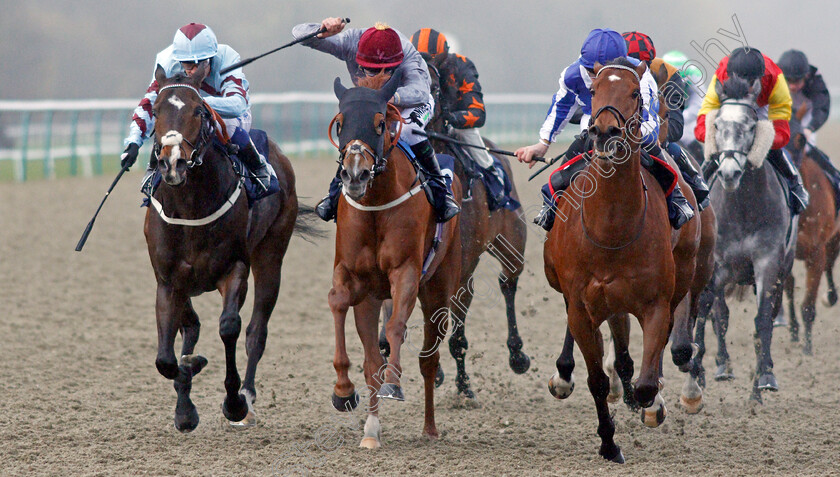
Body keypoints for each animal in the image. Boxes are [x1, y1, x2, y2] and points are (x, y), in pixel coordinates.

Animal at [145, 68, 306, 432]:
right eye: (156, 111)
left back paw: (247, 395)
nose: (172, 163)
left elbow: (229, 326)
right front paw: (185, 405)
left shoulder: (234, 268)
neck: (191, 208)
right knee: (190, 326)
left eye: (199, 111)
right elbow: (166, 358)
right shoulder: (168, 280)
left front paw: (234, 403)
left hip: (271, 254)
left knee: (256, 331)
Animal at [328, 72, 462, 448]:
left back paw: (429, 428)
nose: (354, 174)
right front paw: (343, 391)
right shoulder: (350, 274)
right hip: (371, 298)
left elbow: (397, 326)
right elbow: (338, 302)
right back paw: (371, 430)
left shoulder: (406, 272)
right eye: (340, 123)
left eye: (379, 123)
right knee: (372, 360)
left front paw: (394, 383)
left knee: (428, 359)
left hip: (439, 288)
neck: (375, 205)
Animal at [540, 58, 704, 462]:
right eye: (594, 89)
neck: (611, 229)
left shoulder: (656, 302)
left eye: (634, 93)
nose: (603, 131)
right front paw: (608, 442)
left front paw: (650, 404)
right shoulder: (582, 305)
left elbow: (647, 379)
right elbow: (596, 379)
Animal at [692, 79, 796, 402]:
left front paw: (763, 378)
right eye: (717, 125)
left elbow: (762, 318)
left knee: (772, 312)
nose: (729, 172)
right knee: (717, 314)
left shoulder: (768, 262)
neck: (743, 207)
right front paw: (705, 371)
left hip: (784, 267)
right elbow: (714, 314)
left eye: (751, 125)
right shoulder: (716, 264)